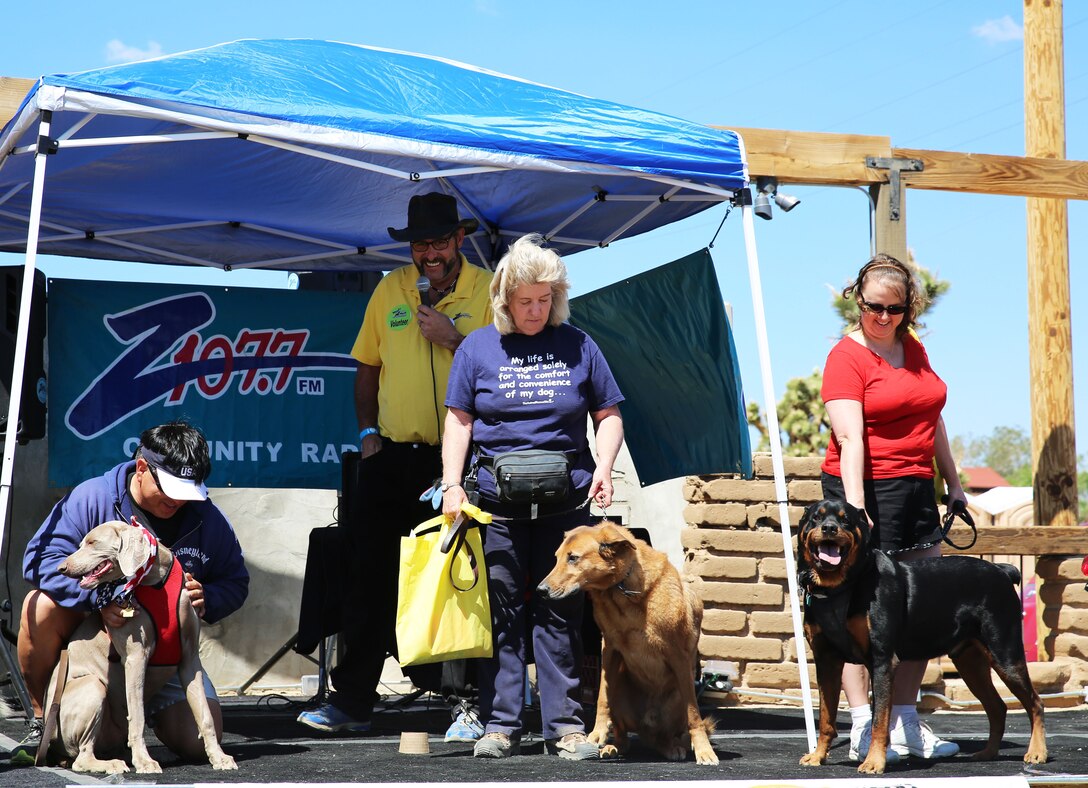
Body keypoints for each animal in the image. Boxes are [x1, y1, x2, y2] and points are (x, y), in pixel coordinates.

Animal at [44, 520, 238, 770]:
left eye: (92, 542)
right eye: (82, 543)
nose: (61, 568)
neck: (156, 582)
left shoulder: (190, 659)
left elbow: (206, 715)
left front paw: (219, 757)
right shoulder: (136, 657)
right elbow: (137, 716)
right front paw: (144, 762)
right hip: (91, 687)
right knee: (82, 758)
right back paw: (112, 764)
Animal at [535, 522, 713, 761]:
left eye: (573, 558)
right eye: (557, 557)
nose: (540, 591)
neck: (622, 589)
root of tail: (647, 728)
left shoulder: (679, 655)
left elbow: (693, 713)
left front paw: (704, 750)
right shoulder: (609, 648)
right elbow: (602, 698)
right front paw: (598, 733)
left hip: (676, 697)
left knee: (669, 734)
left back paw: (672, 748)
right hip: (620, 688)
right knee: (624, 736)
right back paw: (613, 747)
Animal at [800, 500, 1044, 770]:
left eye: (846, 520)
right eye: (815, 518)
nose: (829, 528)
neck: (839, 586)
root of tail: (1002, 571)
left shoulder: (881, 659)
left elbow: (879, 719)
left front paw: (874, 762)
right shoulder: (826, 661)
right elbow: (826, 716)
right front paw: (817, 756)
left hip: (1005, 652)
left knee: (1035, 702)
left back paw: (1037, 753)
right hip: (970, 661)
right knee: (997, 707)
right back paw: (988, 753)